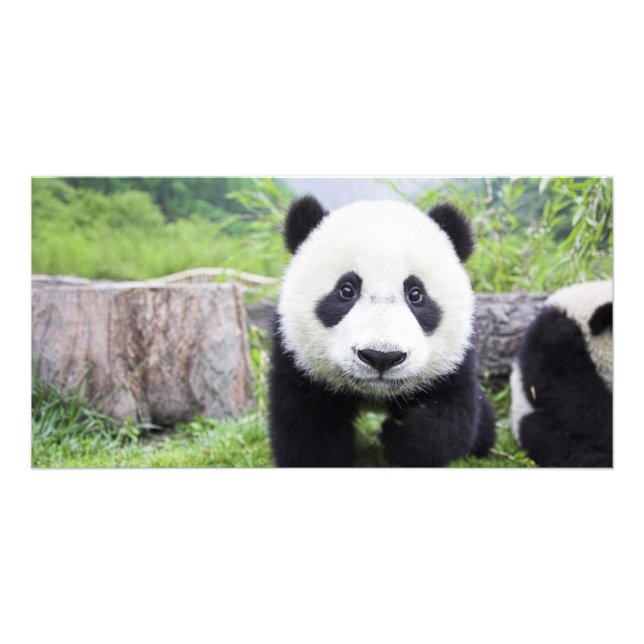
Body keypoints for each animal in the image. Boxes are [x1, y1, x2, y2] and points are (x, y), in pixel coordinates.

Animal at [268, 196, 496, 467]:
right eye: (346, 290)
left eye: (416, 294)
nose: (381, 357)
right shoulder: (296, 358)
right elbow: (306, 426)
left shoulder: (455, 360)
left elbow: (450, 419)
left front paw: (400, 435)